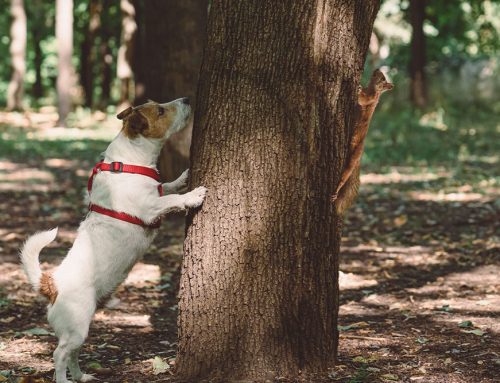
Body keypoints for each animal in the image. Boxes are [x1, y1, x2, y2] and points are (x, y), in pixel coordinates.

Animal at [20, 97, 207, 382]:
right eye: (160, 110)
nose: (187, 99)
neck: (128, 164)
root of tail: (51, 284)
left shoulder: (156, 193)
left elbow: (167, 187)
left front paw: (183, 178)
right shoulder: (150, 208)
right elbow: (172, 199)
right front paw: (193, 194)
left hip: (82, 328)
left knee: (73, 353)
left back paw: (82, 376)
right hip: (76, 326)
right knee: (59, 354)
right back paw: (63, 378)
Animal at [332, 68, 394, 214]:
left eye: (383, 79)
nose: (377, 69)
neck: (371, 88)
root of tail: (359, 158)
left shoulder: (371, 98)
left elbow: (363, 99)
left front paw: (358, 89)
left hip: (352, 160)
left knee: (345, 176)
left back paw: (336, 191)